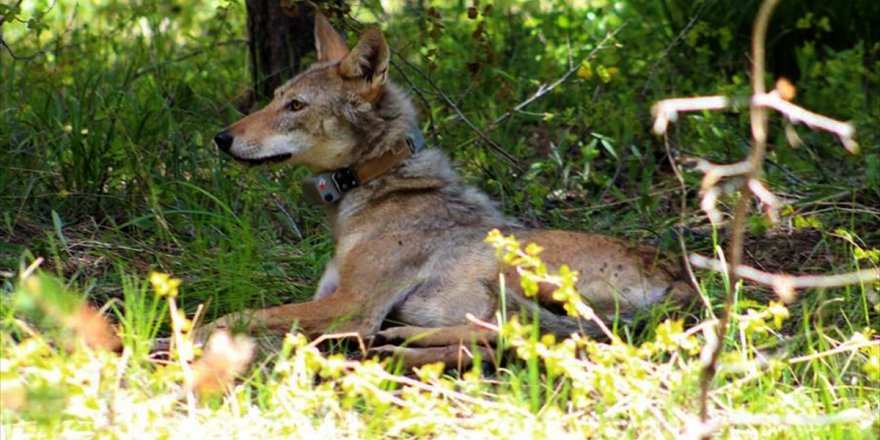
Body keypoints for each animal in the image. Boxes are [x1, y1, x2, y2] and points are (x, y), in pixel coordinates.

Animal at [206, 13, 696, 368]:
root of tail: (684, 276)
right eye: (275, 98)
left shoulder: (353, 306)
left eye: (296, 106)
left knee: (512, 335)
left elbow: (231, 316)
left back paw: (401, 341)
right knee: (494, 346)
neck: (378, 186)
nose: (221, 138)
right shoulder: (327, 297)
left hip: (510, 271)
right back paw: (402, 347)